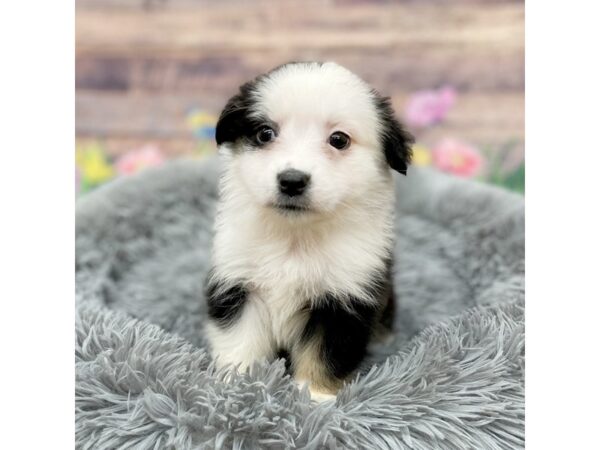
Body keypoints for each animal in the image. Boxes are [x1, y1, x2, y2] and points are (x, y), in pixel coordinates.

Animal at [206, 60, 412, 400]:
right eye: (265, 133)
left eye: (339, 139)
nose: (292, 180)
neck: (295, 237)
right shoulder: (239, 283)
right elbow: (240, 342)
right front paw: (234, 387)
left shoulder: (344, 298)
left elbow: (323, 356)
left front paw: (314, 398)